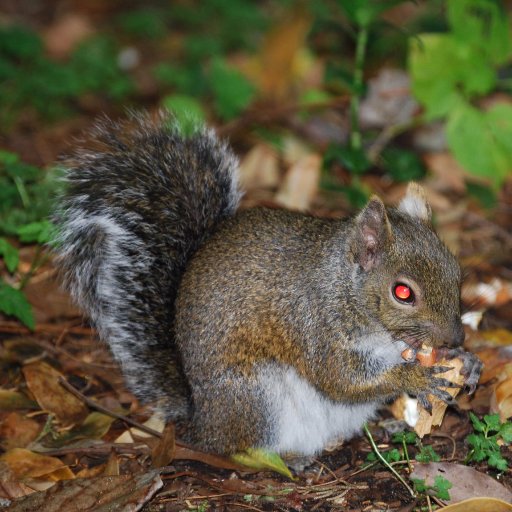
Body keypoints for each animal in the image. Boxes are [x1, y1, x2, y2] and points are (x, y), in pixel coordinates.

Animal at [54, 112, 482, 456]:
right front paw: (415, 377)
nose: (456, 337)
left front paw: (467, 361)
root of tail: (200, 419)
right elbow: (338, 379)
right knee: (241, 448)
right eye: (402, 292)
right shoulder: (314, 327)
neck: (346, 290)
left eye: (455, 271)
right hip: (255, 399)